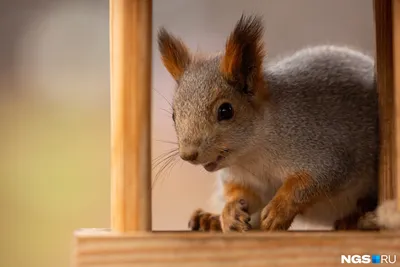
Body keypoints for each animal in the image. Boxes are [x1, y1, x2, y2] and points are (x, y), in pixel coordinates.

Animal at [156, 14, 400, 232]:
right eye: (174, 115)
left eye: (226, 110)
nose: (188, 154)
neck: (253, 154)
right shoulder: (244, 178)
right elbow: (244, 195)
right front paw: (231, 211)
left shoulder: (324, 150)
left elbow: (309, 184)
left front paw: (279, 210)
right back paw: (210, 220)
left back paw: (354, 219)